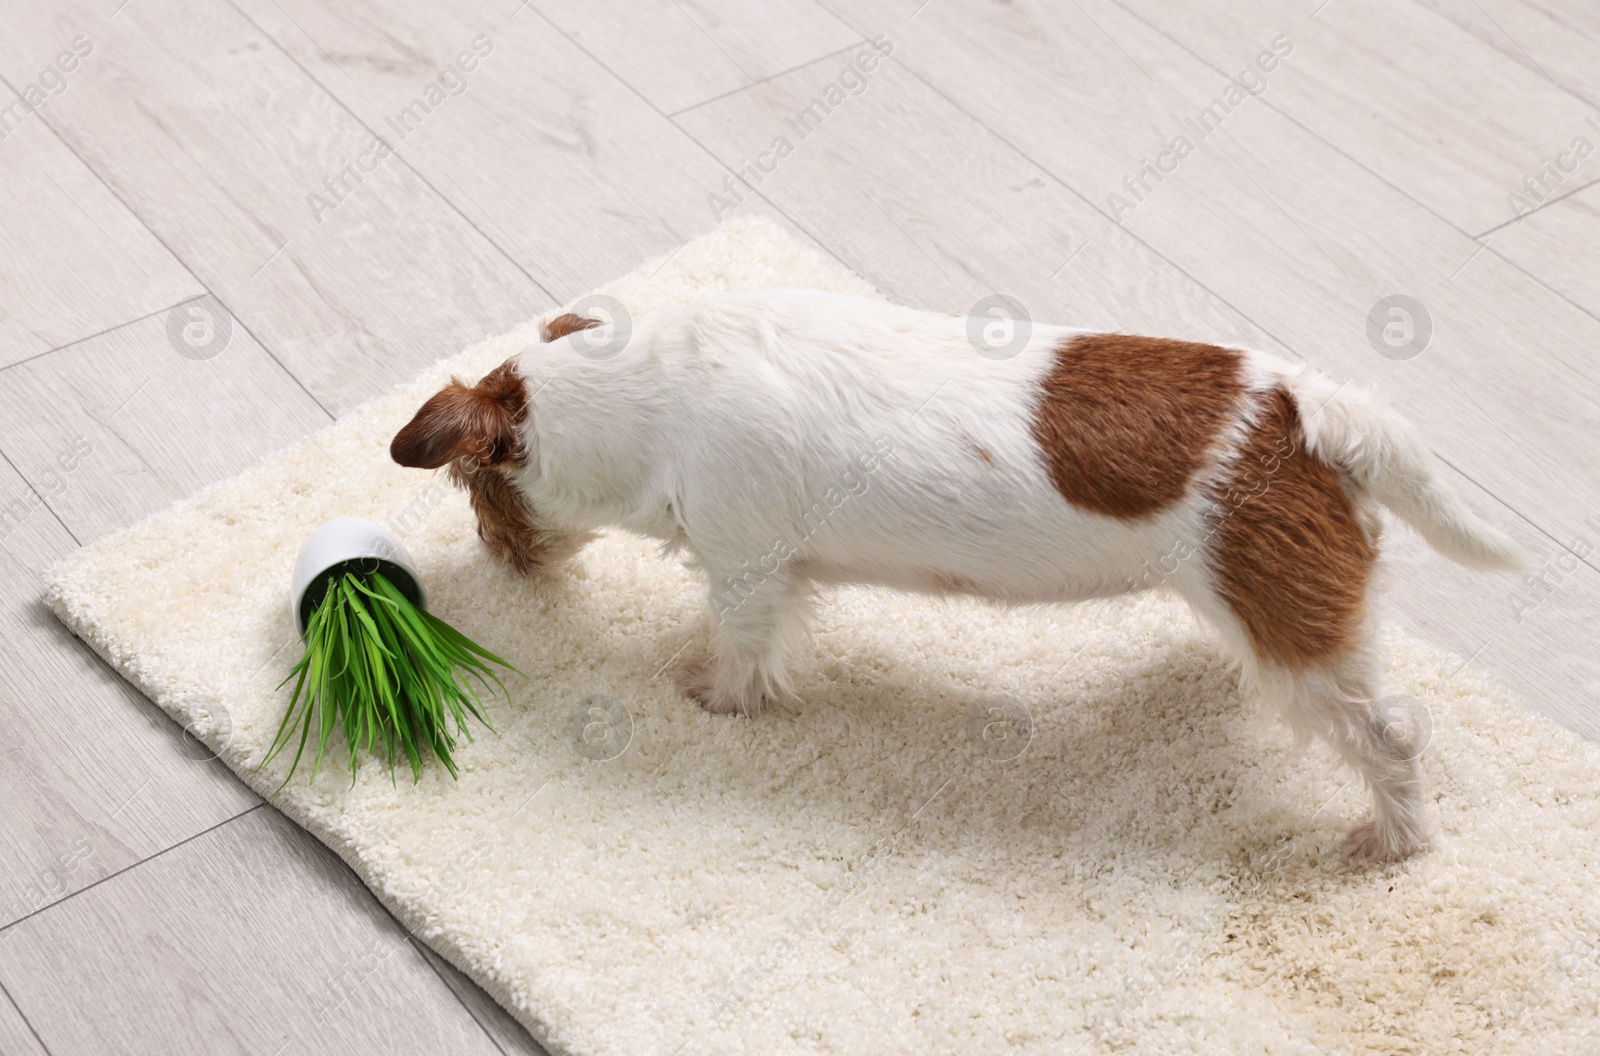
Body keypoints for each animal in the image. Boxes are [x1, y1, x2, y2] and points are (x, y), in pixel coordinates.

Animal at [393, 286, 1516, 857]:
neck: (650, 393)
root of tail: (1300, 408)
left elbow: (743, 650)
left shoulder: (748, 571)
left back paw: (1394, 841)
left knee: (1392, 740)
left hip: (1302, 647)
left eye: (468, 488)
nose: (497, 558)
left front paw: (714, 695)